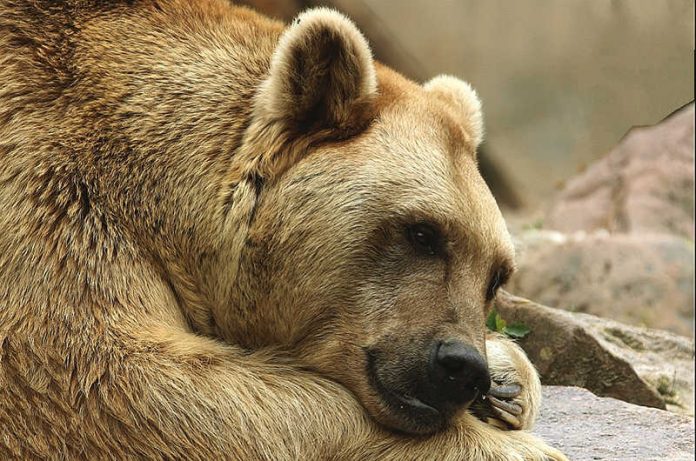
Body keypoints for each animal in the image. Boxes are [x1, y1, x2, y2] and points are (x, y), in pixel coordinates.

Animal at [0, 1, 564, 458]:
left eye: (497, 275)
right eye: (422, 232)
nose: (461, 367)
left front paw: (510, 380)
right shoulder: (52, 208)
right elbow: (135, 388)